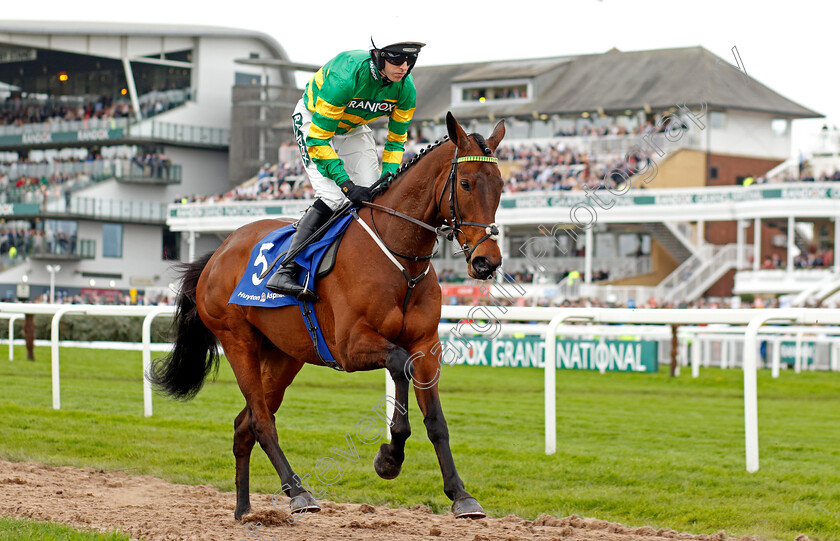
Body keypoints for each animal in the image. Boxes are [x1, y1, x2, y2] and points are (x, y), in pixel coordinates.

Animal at [151, 112, 506, 520]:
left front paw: (461, 495)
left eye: (500, 185)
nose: (486, 262)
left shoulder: (426, 344)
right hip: (238, 341)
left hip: (284, 355)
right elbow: (400, 365)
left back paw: (244, 510)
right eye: (465, 183)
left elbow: (436, 420)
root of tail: (218, 251)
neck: (399, 258)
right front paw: (389, 458)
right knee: (261, 421)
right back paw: (298, 492)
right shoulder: (350, 347)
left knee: (244, 425)